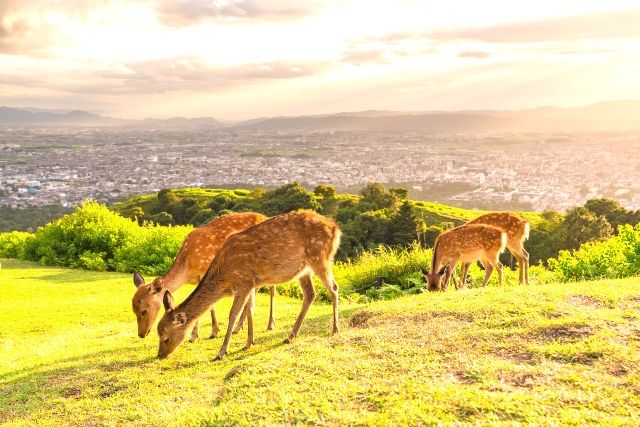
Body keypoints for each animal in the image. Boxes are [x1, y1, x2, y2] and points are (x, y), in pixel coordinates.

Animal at [132, 212, 276, 342]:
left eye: (144, 310)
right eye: (133, 309)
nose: (141, 334)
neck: (187, 266)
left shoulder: (205, 270)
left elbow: (211, 305)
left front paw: (209, 333)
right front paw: (197, 334)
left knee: (272, 288)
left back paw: (270, 325)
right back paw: (238, 327)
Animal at [158, 211, 342, 362]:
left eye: (165, 337)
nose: (160, 355)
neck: (224, 276)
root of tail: (336, 228)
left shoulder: (244, 281)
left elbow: (233, 314)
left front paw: (221, 352)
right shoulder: (251, 283)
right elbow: (250, 309)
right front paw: (248, 343)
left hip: (320, 257)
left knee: (333, 288)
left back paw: (335, 329)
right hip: (304, 269)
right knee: (310, 294)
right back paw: (290, 336)